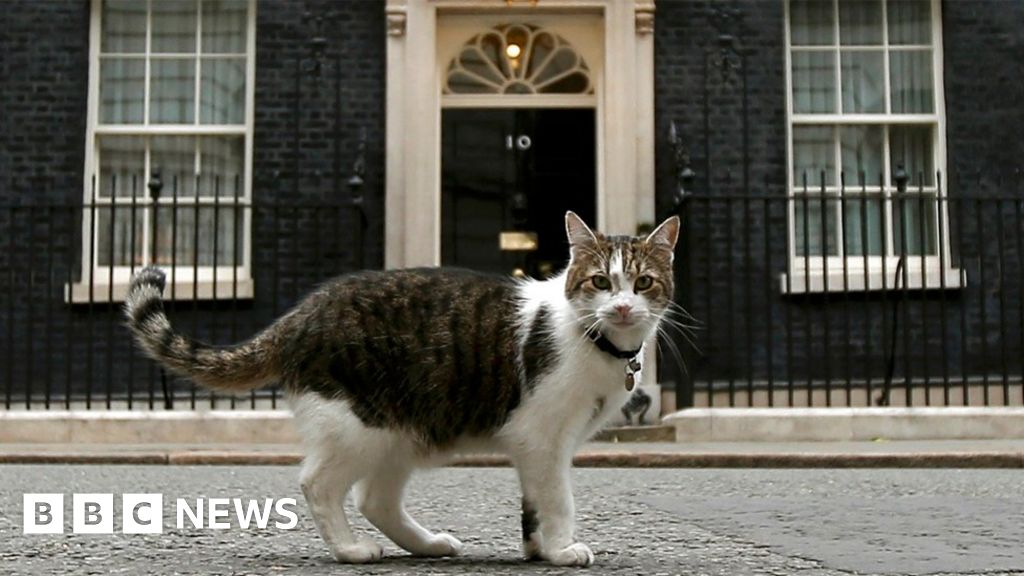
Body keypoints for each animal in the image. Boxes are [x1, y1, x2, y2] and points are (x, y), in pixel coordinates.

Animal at [123, 211, 675, 565]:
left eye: (644, 284)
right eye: (600, 282)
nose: (622, 307)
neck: (598, 342)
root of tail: (300, 315)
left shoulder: (537, 446)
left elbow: (535, 502)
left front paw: (538, 549)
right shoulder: (541, 437)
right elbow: (558, 498)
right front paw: (562, 550)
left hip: (401, 431)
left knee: (375, 499)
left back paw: (427, 545)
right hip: (359, 424)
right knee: (319, 484)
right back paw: (350, 550)